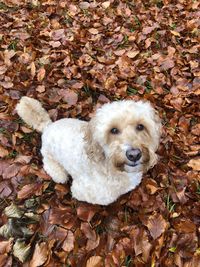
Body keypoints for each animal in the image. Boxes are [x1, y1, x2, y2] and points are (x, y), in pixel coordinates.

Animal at [16, 97, 162, 206]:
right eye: (113, 130)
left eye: (140, 126)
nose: (134, 155)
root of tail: (48, 126)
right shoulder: (81, 190)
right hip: (53, 166)